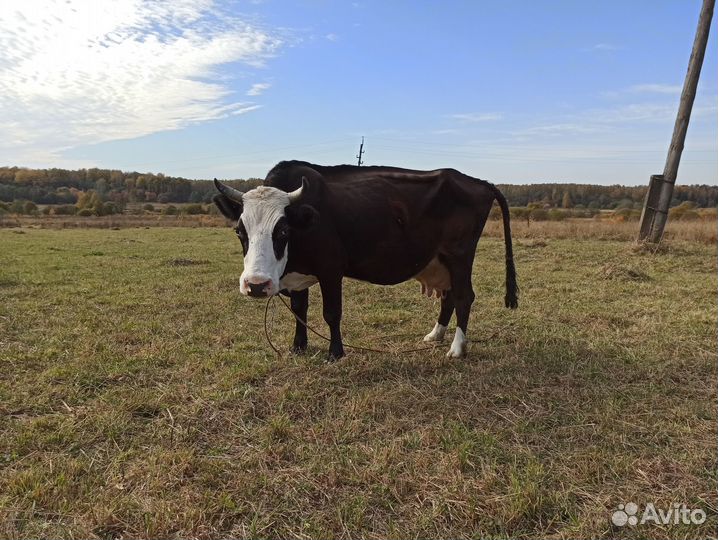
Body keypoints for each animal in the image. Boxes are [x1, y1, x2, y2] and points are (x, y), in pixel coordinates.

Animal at [213, 160, 518, 361]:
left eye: (283, 231)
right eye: (240, 231)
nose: (256, 285)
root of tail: (480, 183)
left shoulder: (331, 269)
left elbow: (331, 313)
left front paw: (335, 353)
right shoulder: (298, 275)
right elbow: (300, 310)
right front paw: (298, 346)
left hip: (459, 255)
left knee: (464, 296)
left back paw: (457, 348)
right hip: (439, 260)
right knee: (449, 296)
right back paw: (436, 335)